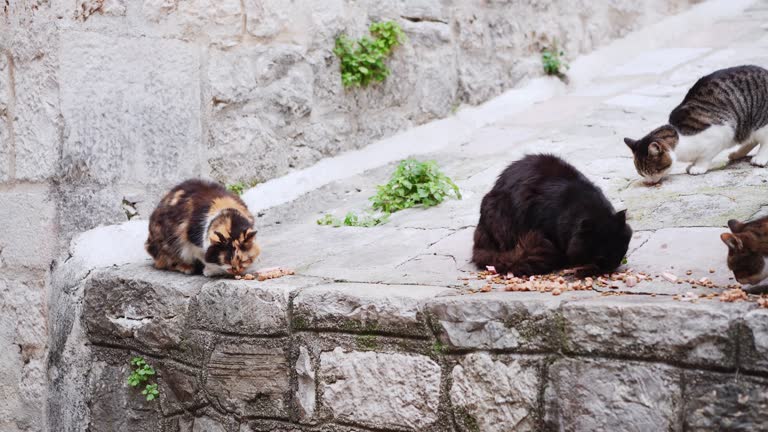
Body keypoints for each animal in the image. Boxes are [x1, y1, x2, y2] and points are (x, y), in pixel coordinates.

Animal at [624, 65, 768, 183]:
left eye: (652, 171)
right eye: (641, 173)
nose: (649, 182)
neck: (680, 140)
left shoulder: (720, 135)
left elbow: (705, 157)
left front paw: (698, 167)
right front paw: (692, 165)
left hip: (760, 121)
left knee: (764, 139)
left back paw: (760, 158)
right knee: (752, 139)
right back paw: (737, 154)